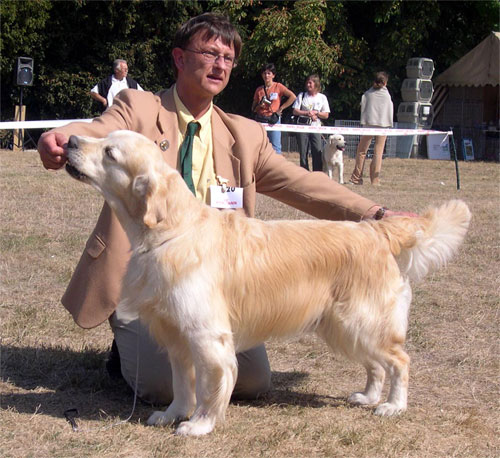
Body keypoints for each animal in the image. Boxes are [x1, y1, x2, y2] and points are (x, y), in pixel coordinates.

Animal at [64, 130, 470, 436]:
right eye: (103, 137)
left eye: (110, 152)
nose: (68, 139)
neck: (170, 231)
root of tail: (376, 230)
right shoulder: (176, 335)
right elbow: (181, 383)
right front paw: (173, 413)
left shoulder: (207, 335)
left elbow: (212, 386)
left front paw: (199, 425)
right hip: (343, 325)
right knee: (376, 365)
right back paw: (369, 396)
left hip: (361, 320)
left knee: (399, 360)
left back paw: (392, 405)